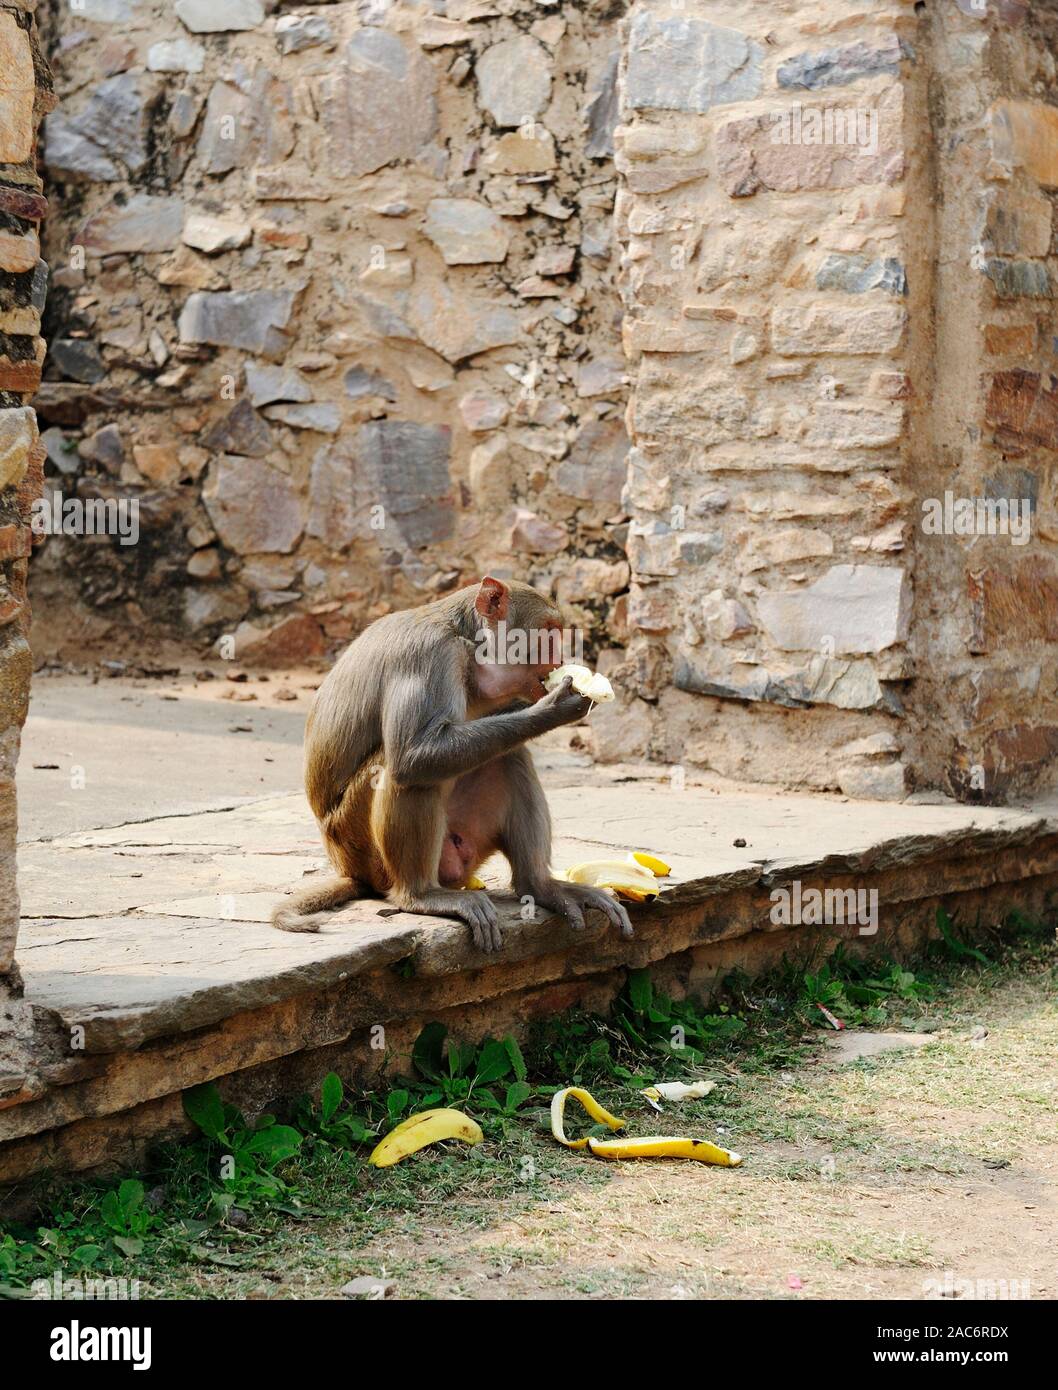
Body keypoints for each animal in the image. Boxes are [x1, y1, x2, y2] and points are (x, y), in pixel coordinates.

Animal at [271, 576, 633, 952]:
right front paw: (554, 709)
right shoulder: (428, 655)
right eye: (548, 632)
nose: (561, 657)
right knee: (407, 775)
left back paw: (540, 887)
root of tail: (346, 866)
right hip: (360, 844)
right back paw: (419, 895)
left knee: (509, 755)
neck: (468, 646)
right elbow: (414, 755)